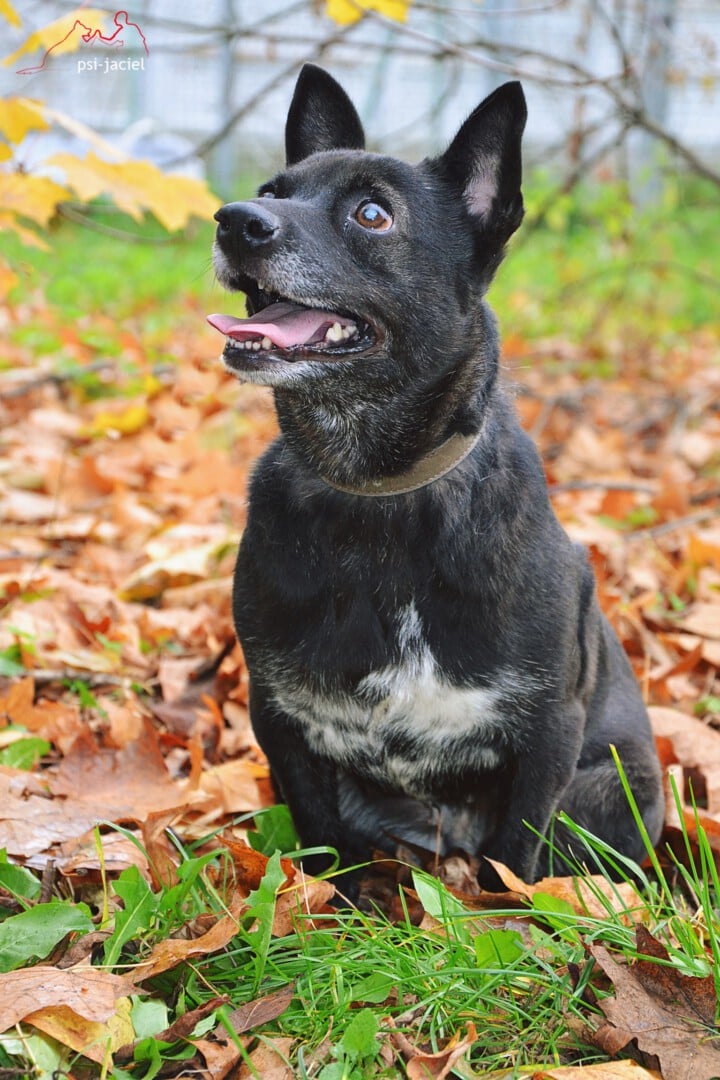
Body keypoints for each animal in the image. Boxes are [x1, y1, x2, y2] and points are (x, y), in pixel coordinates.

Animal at [207, 65, 664, 894]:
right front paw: (342, 912)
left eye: (372, 214)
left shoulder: (550, 734)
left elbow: (516, 860)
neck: (378, 495)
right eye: (270, 189)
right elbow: (326, 839)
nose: (235, 221)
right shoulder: (282, 722)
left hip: (612, 787)